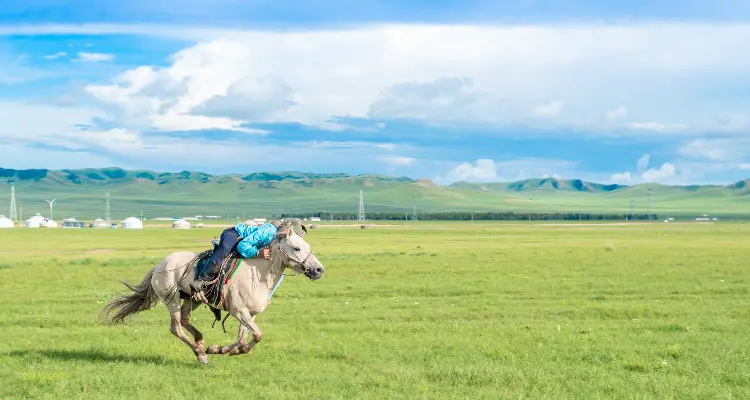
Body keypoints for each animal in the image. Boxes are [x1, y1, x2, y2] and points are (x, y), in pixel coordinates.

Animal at [101, 223, 324, 364]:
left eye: (308, 246)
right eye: (297, 248)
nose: (319, 270)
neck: (259, 274)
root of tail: (159, 266)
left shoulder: (249, 314)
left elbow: (244, 338)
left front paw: (222, 349)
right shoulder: (239, 311)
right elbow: (257, 335)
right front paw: (219, 350)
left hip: (192, 299)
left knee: (184, 320)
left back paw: (201, 342)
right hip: (171, 300)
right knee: (176, 327)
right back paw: (200, 354)